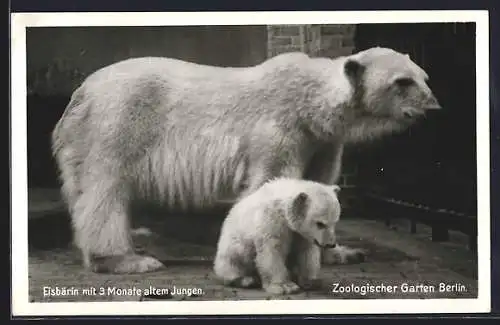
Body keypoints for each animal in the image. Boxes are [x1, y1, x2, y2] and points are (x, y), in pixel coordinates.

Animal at [51, 46, 442, 274]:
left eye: (424, 77)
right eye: (402, 82)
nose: (434, 107)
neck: (312, 103)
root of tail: (77, 96)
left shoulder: (322, 141)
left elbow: (319, 185)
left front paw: (341, 252)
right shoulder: (280, 128)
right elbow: (272, 183)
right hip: (116, 125)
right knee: (105, 191)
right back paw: (127, 259)